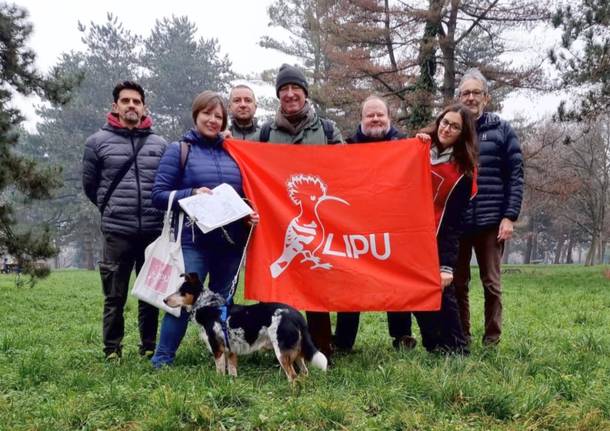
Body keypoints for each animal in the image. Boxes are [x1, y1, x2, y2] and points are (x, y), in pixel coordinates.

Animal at [160, 276, 324, 384]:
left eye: (182, 291)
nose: (164, 300)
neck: (209, 306)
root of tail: (297, 315)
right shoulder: (230, 350)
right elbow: (232, 372)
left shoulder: (218, 349)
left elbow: (220, 371)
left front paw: (218, 383)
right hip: (297, 353)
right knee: (304, 373)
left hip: (282, 353)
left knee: (293, 377)